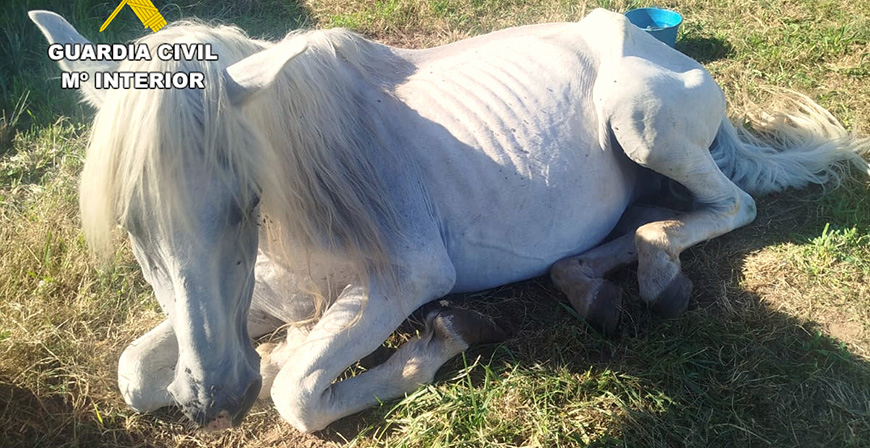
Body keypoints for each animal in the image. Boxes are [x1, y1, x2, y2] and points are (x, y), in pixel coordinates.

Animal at [30, 8, 869, 433]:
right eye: (132, 225)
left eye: (245, 201)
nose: (215, 404)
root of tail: (652, 44)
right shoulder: (255, 300)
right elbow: (134, 374)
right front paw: (260, 356)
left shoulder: (406, 277)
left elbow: (297, 394)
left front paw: (442, 338)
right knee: (642, 220)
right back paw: (588, 282)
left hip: (644, 123)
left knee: (731, 205)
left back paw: (657, 277)